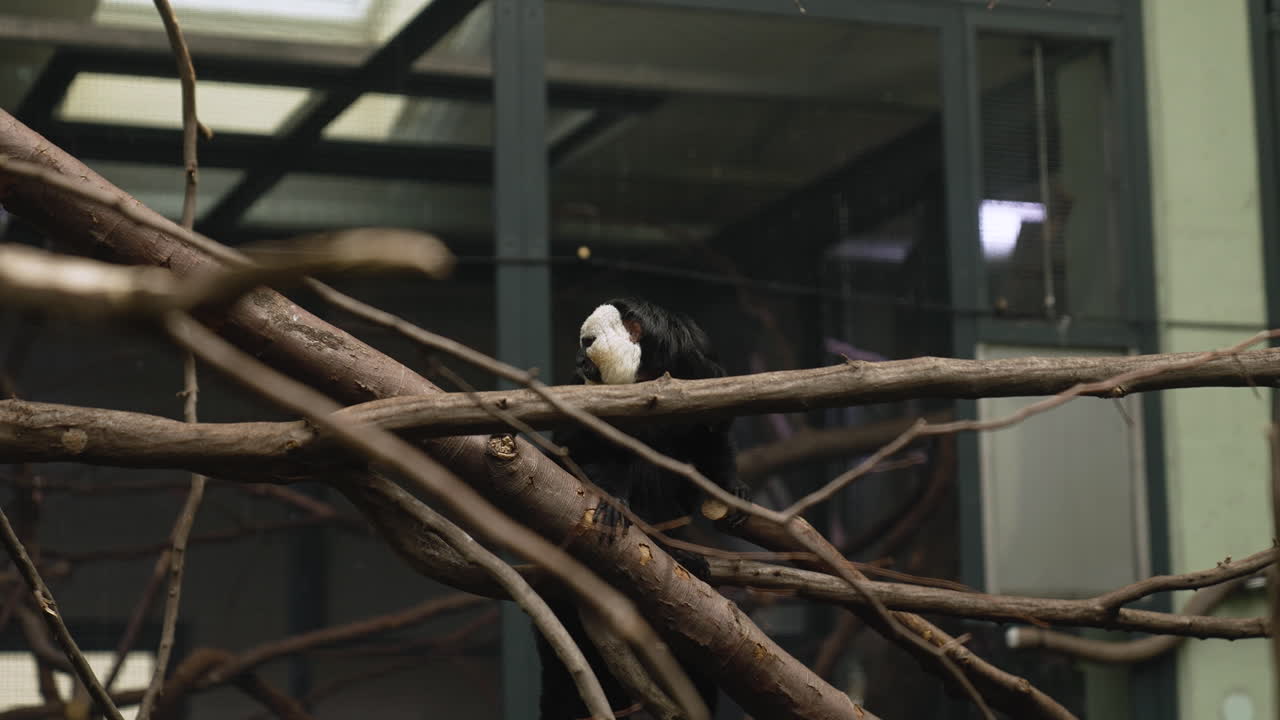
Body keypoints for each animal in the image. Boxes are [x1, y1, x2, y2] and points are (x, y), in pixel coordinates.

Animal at [536, 297, 750, 720]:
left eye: (587, 343)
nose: (577, 361)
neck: (650, 373)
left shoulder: (700, 368)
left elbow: (711, 438)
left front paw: (731, 487)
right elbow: (587, 451)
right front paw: (613, 501)